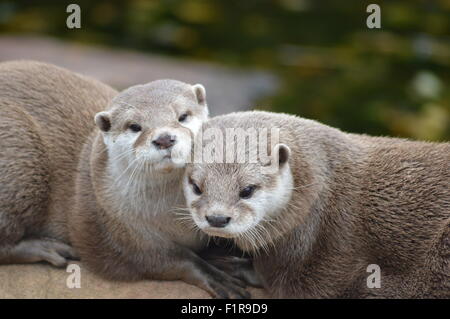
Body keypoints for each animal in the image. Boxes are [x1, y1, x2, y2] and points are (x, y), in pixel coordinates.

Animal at [0, 60, 250, 300]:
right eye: (134, 126)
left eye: (182, 116)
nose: (164, 138)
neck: (174, 217)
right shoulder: (110, 228)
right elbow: (156, 259)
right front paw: (213, 274)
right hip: (20, 154)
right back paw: (44, 248)